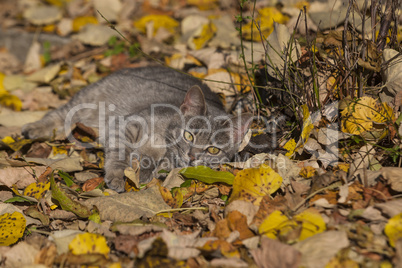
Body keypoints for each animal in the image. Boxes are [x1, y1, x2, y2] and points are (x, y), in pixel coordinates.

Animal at [22, 67, 251, 193]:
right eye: (188, 135)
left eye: (213, 150)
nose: (193, 156)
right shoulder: (126, 124)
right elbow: (120, 154)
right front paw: (117, 175)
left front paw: (147, 171)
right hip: (84, 102)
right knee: (59, 115)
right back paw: (32, 128)